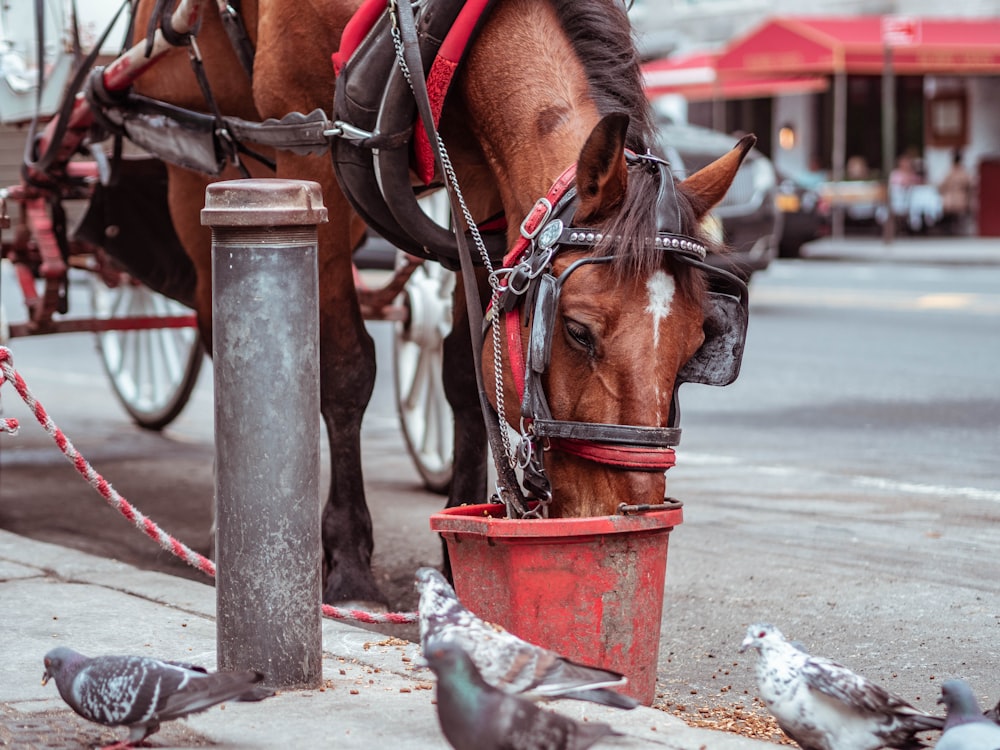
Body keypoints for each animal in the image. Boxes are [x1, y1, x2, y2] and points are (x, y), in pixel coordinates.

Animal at [127, 0, 752, 604]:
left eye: (700, 340)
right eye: (576, 331)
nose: (632, 514)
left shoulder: (489, 204)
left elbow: (469, 373)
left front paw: (455, 562)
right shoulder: (308, 149)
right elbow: (345, 370)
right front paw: (349, 565)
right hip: (210, 160)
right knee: (218, 317)